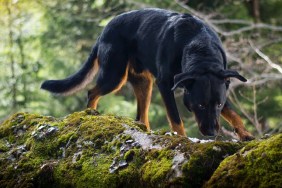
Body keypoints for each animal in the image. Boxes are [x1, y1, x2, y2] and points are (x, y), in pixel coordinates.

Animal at [40, 8, 254, 140]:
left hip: (144, 83)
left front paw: (245, 134)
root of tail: (104, 30)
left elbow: (233, 113)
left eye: (218, 105)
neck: (199, 46)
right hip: (114, 75)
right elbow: (175, 118)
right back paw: (91, 114)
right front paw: (182, 139)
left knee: (141, 117)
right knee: (92, 92)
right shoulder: (166, 85)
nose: (211, 133)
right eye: (200, 105)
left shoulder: (220, 83)